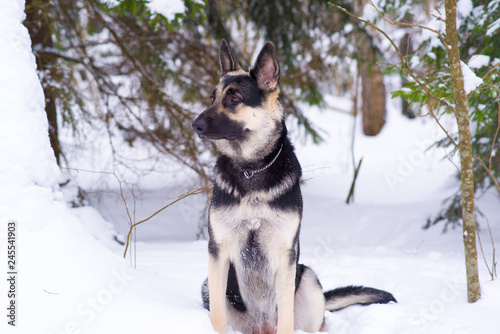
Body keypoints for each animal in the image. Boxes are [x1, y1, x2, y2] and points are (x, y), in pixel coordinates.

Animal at [191, 39, 394, 334]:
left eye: (234, 99)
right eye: (212, 98)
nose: (195, 125)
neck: (251, 169)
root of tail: (261, 327)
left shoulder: (285, 255)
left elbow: (285, 315)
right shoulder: (217, 252)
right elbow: (217, 316)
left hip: (308, 279)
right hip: (208, 284)